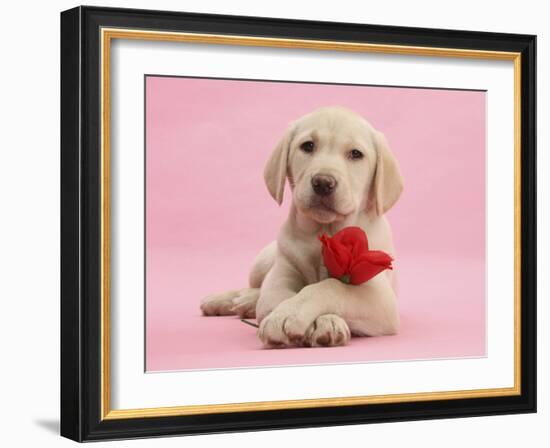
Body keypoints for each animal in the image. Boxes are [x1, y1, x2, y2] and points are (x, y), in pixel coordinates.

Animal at [203, 107, 406, 348]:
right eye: (308, 146)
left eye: (356, 154)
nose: (323, 183)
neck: (323, 232)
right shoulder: (279, 281)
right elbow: (280, 297)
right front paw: (285, 316)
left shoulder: (379, 297)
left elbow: (330, 286)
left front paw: (321, 320)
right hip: (262, 262)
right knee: (255, 288)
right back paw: (227, 300)